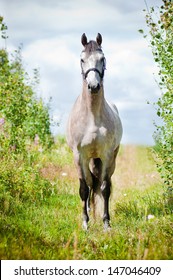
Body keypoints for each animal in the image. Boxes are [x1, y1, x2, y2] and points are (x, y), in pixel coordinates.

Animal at [66, 32, 123, 230]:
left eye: (102, 58)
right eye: (82, 59)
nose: (93, 86)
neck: (91, 117)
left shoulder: (106, 155)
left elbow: (104, 188)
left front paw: (106, 222)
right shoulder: (79, 156)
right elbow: (84, 188)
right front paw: (85, 222)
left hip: (108, 159)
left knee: (101, 184)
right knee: (90, 184)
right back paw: (90, 212)